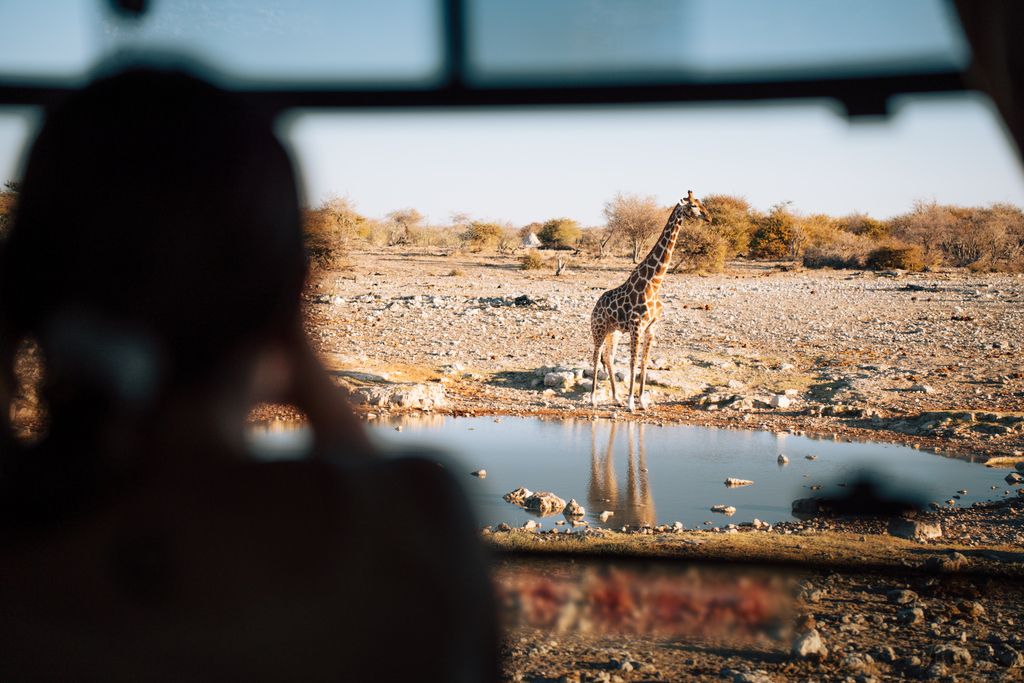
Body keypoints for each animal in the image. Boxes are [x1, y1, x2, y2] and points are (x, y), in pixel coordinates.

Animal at [589, 190, 710, 412]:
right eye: (693, 205)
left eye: (701, 203)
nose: (709, 217)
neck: (654, 284)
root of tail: (595, 306)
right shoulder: (637, 325)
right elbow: (633, 362)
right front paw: (631, 403)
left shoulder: (651, 327)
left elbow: (644, 362)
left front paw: (642, 402)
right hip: (599, 328)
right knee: (596, 355)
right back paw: (593, 398)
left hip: (614, 331)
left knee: (608, 357)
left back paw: (616, 398)